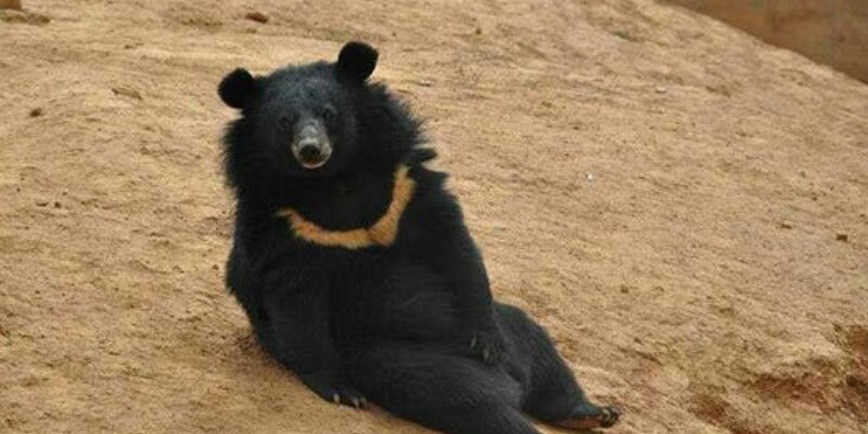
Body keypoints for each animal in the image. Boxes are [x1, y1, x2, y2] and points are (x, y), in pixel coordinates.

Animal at [217, 41, 621, 434]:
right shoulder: (287, 228)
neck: (334, 180)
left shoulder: (404, 186)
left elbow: (455, 245)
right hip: (401, 358)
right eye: (284, 122)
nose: (311, 150)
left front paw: (485, 341)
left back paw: (592, 412)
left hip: (514, 330)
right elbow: (297, 308)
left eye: (329, 114)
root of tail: (513, 381)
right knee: (468, 399)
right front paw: (341, 391)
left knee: (542, 353)